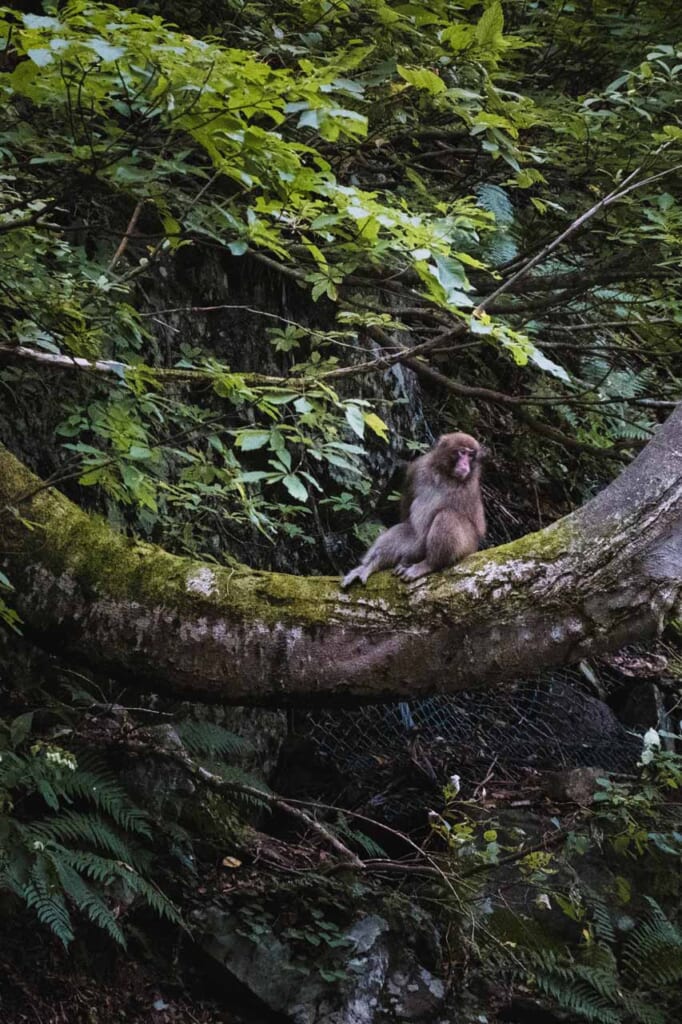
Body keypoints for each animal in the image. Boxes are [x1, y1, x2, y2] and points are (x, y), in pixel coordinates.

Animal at [341, 432, 486, 587]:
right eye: (462, 452)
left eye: (471, 456)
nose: (465, 464)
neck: (444, 474)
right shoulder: (416, 469)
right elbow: (406, 512)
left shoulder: (468, 488)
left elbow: (474, 524)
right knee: (405, 529)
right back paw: (371, 565)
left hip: (469, 547)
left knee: (447, 515)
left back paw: (429, 564)